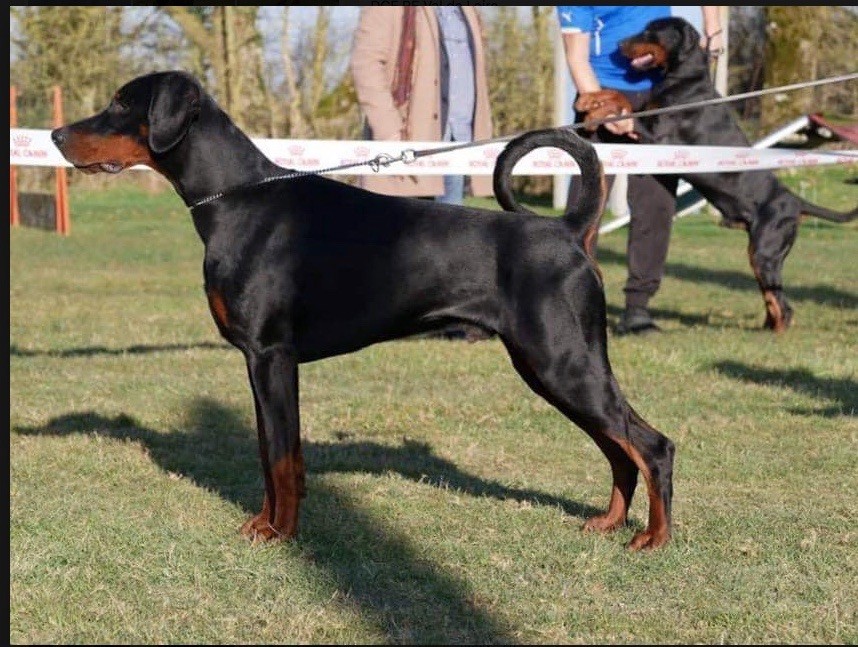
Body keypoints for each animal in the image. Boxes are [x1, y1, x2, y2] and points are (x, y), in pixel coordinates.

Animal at [51, 70, 674, 551]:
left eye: (121, 103)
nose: (55, 135)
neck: (234, 201)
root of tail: (568, 230)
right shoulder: (258, 362)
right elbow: (271, 452)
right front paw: (265, 523)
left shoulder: (271, 355)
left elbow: (281, 456)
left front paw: (281, 535)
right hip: (550, 367)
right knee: (619, 448)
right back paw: (609, 523)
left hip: (562, 361)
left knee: (651, 445)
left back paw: (653, 538)